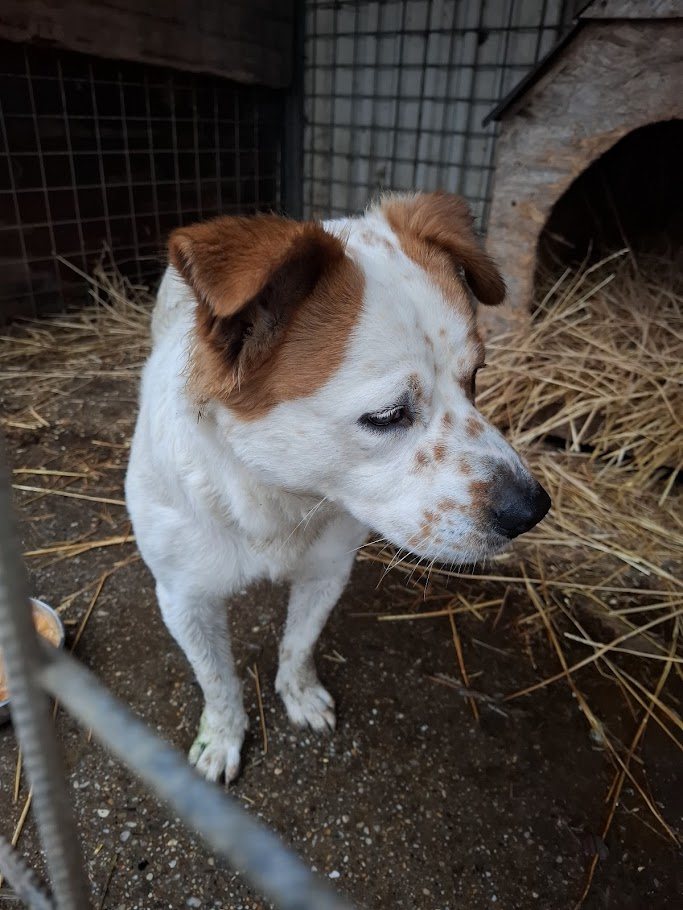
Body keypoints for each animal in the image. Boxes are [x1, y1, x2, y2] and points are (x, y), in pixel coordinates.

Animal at [125, 191, 550, 783]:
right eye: (387, 415)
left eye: (475, 379)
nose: (533, 509)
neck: (279, 497)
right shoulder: (184, 597)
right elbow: (218, 681)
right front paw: (223, 736)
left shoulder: (326, 572)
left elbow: (298, 645)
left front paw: (298, 695)